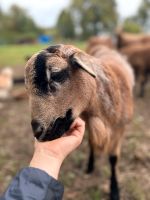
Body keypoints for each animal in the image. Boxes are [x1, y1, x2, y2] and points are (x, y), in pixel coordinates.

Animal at [25, 44, 134, 200]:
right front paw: (90, 166)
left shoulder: (120, 129)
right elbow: (92, 143)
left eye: (56, 75)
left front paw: (114, 191)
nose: (38, 131)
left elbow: (113, 159)